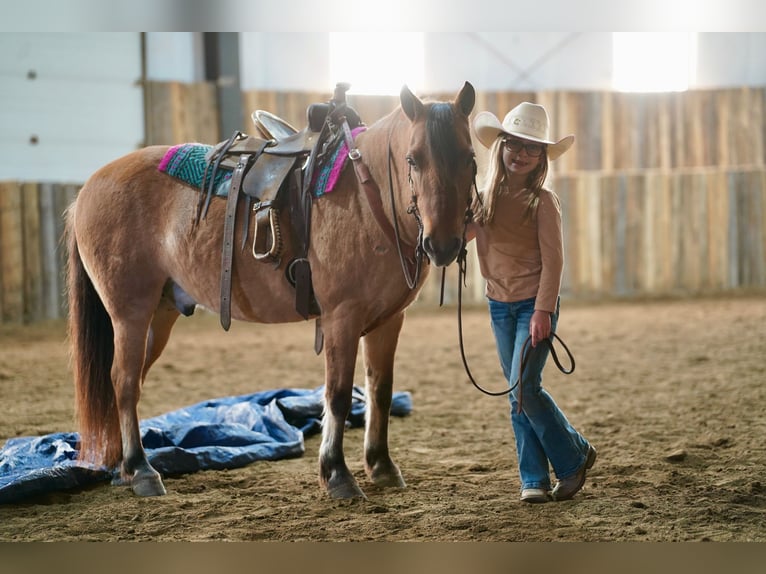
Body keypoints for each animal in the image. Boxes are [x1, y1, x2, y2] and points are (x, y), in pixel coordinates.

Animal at [66, 82, 477, 500]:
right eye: (413, 159)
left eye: (470, 157)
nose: (442, 244)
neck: (368, 197)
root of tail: (88, 189)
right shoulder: (341, 317)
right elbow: (338, 395)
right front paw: (337, 474)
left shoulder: (388, 320)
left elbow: (380, 390)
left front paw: (381, 465)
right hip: (129, 312)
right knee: (124, 382)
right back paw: (141, 469)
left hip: (158, 317)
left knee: (129, 382)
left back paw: (124, 468)